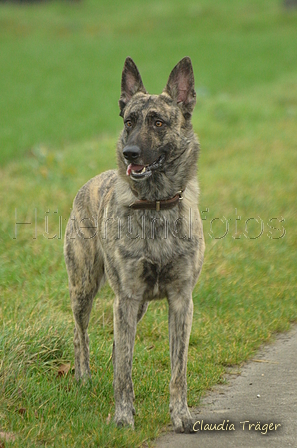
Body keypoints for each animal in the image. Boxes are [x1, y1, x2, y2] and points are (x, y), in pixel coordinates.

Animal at [64, 56, 204, 430]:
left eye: (158, 122)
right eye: (129, 121)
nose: (130, 154)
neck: (155, 205)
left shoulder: (180, 301)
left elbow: (178, 369)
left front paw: (181, 415)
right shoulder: (125, 298)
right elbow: (124, 371)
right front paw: (123, 417)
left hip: (135, 306)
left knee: (117, 347)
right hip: (85, 288)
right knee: (81, 335)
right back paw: (83, 378)